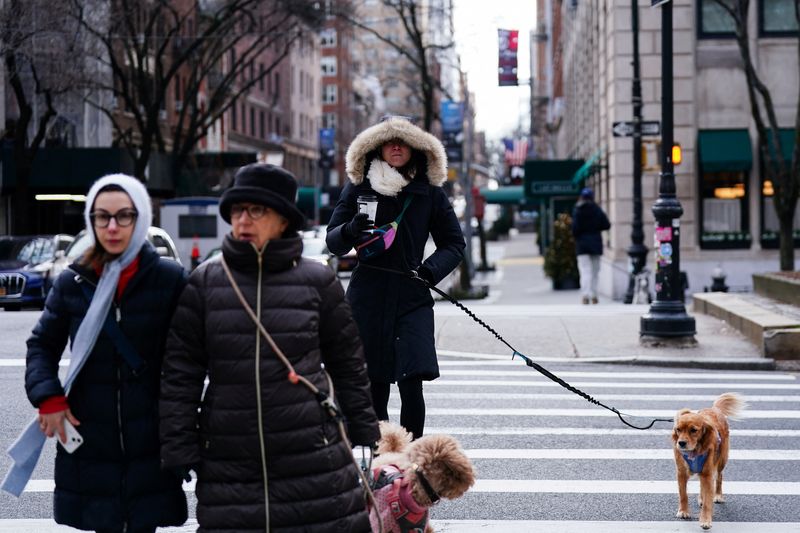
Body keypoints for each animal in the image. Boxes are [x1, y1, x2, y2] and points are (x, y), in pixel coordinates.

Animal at [672, 390, 748, 528]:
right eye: (678, 429)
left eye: (693, 430)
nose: (681, 443)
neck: (694, 451)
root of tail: (714, 409)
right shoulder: (681, 473)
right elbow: (683, 494)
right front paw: (683, 511)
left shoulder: (707, 473)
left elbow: (708, 501)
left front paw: (706, 520)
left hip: (721, 460)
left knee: (719, 477)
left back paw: (717, 495)